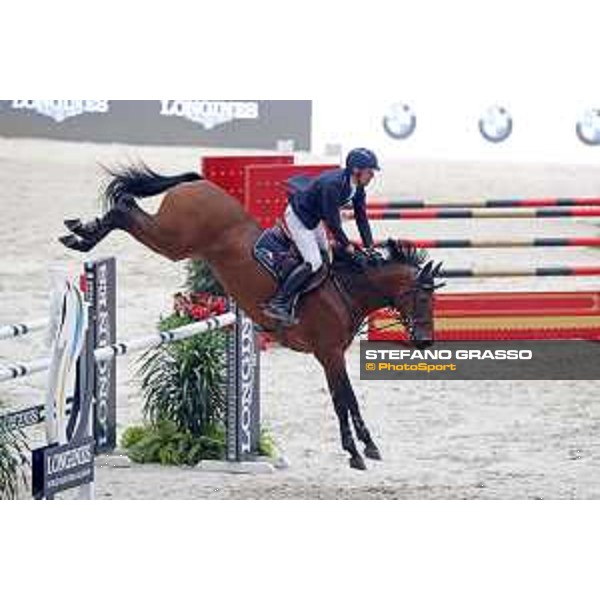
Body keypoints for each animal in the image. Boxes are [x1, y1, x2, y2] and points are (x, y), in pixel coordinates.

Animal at [61, 164, 442, 468]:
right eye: (423, 297)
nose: (425, 342)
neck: (345, 290)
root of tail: (199, 184)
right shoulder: (329, 353)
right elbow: (342, 400)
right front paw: (357, 452)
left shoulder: (333, 354)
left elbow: (347, 400)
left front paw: (367, 447)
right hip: (173, 240)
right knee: (126, 207)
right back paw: (81, 235)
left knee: (128, 206)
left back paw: (80, 231)